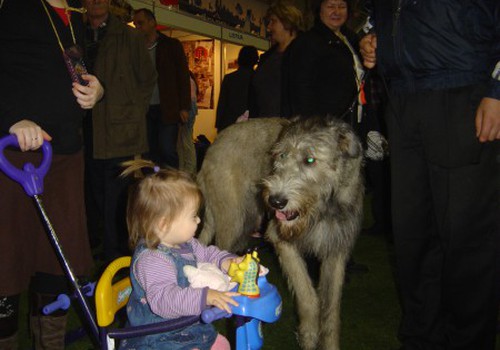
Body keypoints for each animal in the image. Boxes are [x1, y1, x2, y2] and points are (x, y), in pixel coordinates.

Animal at [196, 116, 364, 348]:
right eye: (281, 155)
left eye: (310, 160)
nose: (275, 201)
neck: (322, 207)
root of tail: (213, 145)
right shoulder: (281, 239)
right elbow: (308, 296)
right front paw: (309, 336)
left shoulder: (336, 249)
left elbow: (331, 307)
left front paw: (328, 342)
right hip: (232, 220)